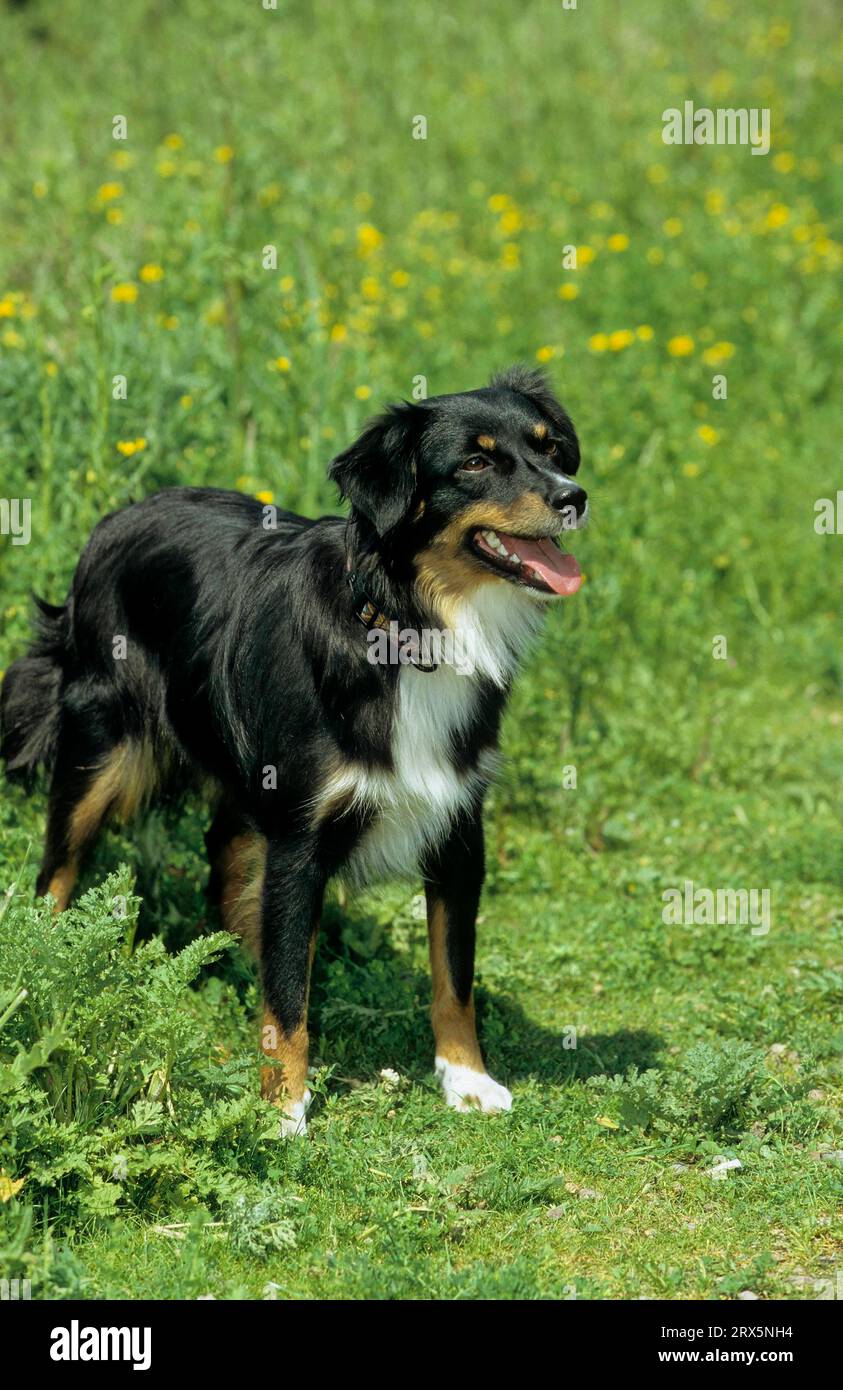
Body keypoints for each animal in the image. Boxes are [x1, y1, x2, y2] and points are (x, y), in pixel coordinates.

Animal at [0, 364, 587, 1134]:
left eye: (549, 448)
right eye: (475, 463)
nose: (574, 497)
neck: (408, 622)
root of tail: (118, 516)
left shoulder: (459, 825)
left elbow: (453, 972)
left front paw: (466, 1078)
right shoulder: (302, 835)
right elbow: (288, 991)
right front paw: (283, 1111)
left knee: (227, 856)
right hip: (103, 750)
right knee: (59, 871)